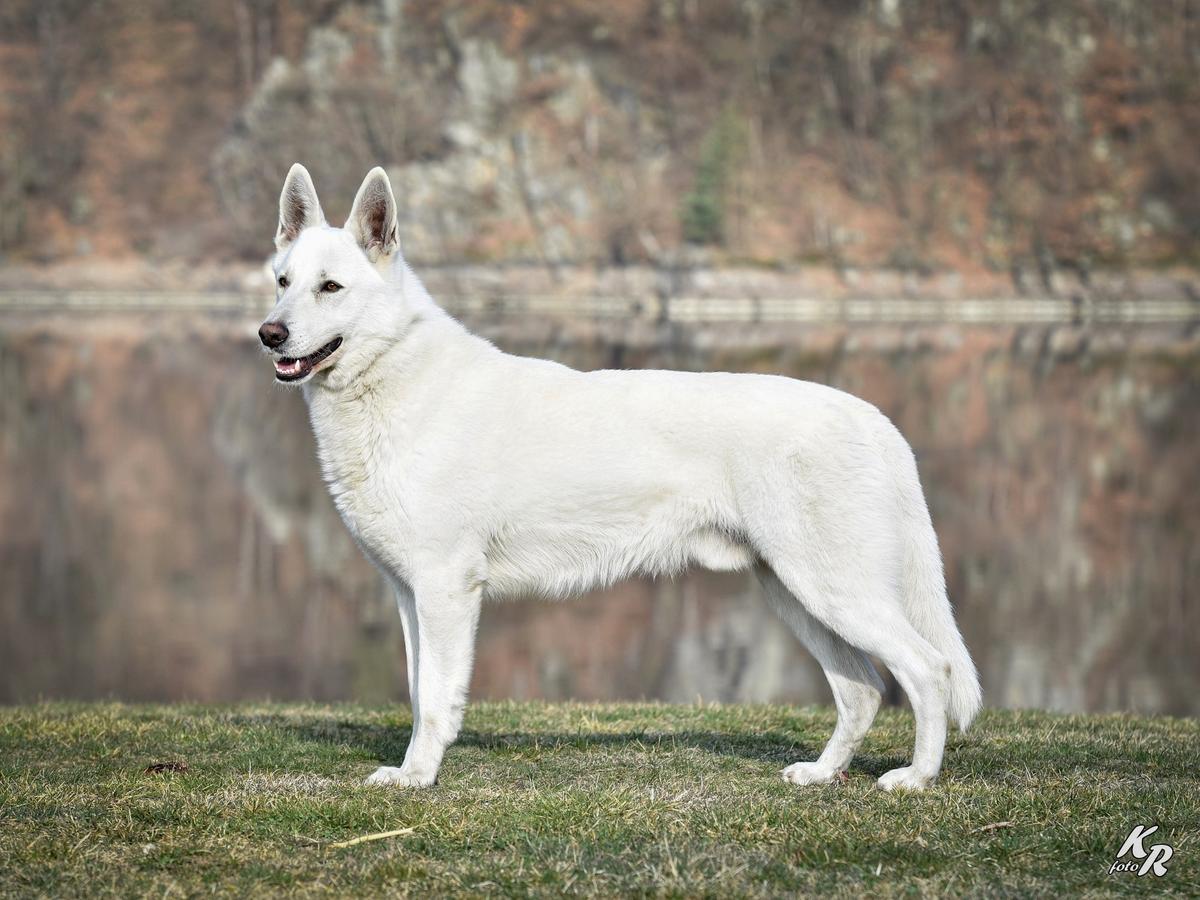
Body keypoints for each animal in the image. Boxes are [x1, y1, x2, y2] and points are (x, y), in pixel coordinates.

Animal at [260, 165, 974, 792]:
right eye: (282, 281)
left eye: (331, 288)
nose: (269, 333)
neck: (392, 378)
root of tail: (875, 419)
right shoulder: (411, 595)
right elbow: (416, 691)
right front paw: (414, 771)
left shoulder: (445, 589)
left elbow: (435, 698)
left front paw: (418, 778)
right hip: (796, 593)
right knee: (862, 689)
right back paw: (823, 775)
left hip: (833, 589)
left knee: (928, 670)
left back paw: (916, 779)